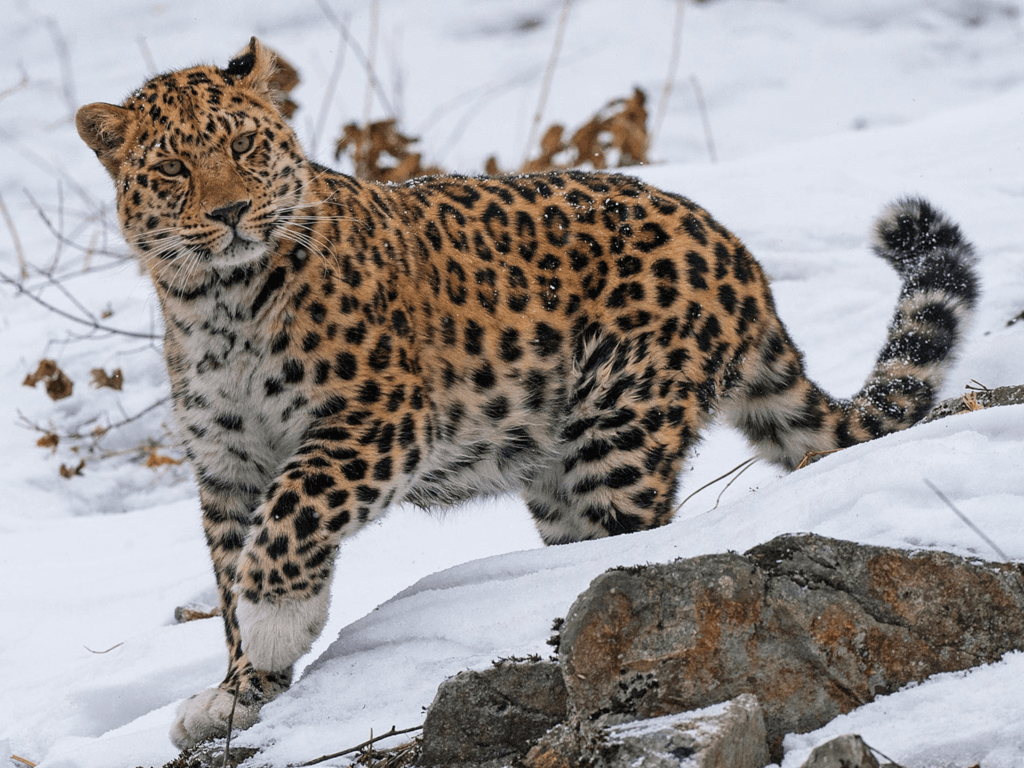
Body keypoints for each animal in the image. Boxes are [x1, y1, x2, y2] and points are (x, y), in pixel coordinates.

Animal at [75, 39, 978, 749]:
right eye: (173, 167)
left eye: (245, 147)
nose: (232, 212)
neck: (216, 302)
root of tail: (738, 255)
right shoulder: (226, 465)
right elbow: (232, 566)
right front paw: (239, 693)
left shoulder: (377, 416)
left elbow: (292, 515)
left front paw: (273, 627)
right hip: (554, 472)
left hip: (618, 429)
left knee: (635, 541)